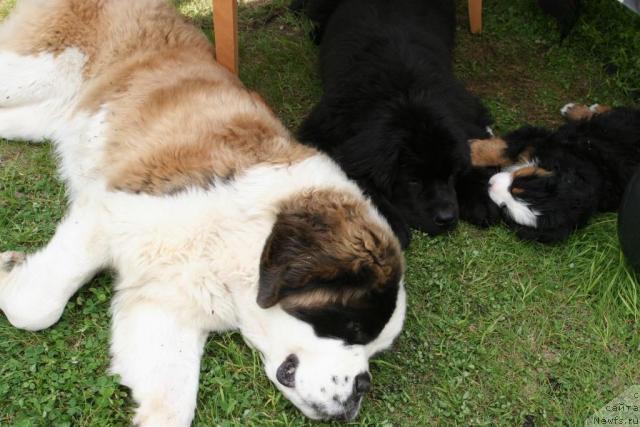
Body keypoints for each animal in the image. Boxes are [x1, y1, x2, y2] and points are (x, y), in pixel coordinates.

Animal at [0, 1, 404, 426]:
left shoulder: (163, 305)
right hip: (34, 70)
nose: (363, 388)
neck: (246, 243)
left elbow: (171, 403)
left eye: (373, 348)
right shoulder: (108, 213)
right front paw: (9, 269)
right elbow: (34, 308)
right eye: (352, 327)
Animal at [292, 0, 498, 249]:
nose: (446, 218)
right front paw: (388, 221)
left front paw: (479, 194)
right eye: (413, 180)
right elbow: (356, 176)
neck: (404, 93)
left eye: (451, 174)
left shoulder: (464, 111)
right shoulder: (323, 134)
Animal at [470, 102, 640, 242]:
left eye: (505, 208)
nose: (489, 184)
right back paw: (578, 109)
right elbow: (505, 149)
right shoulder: (545, 139)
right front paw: (472, 151)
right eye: (516, 186)